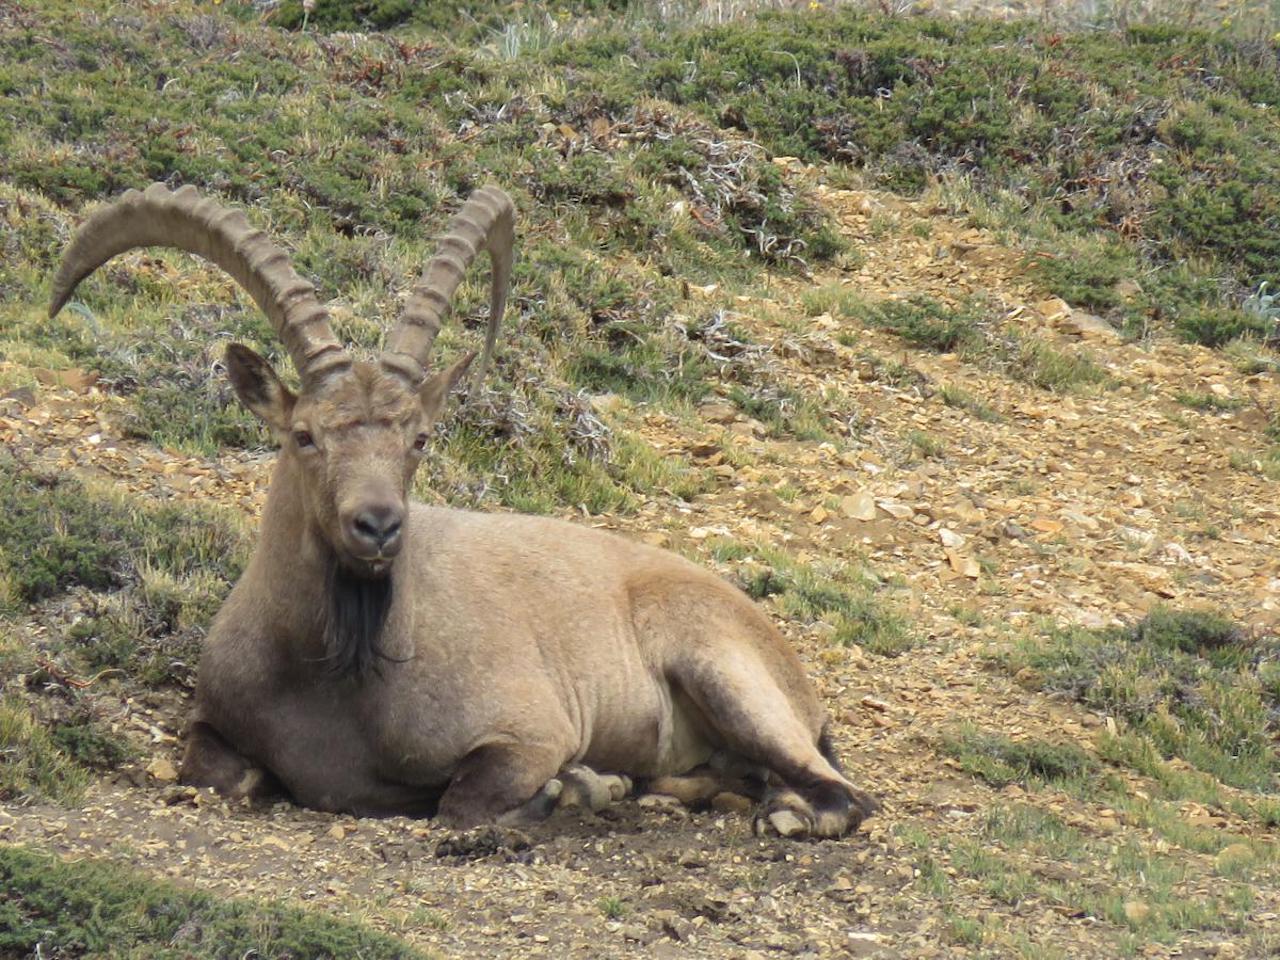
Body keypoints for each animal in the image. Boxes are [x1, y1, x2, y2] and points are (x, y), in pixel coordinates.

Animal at [49, 184, 885, 839]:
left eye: (420, 436)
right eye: (304, 434)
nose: (378, 526)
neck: (334, 678)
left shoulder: (530, 729)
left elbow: (464, 801)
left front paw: (575, 787)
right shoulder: (216, 721)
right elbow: (220, 775)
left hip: (724, 670)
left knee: (846, 794)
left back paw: (775, 811)